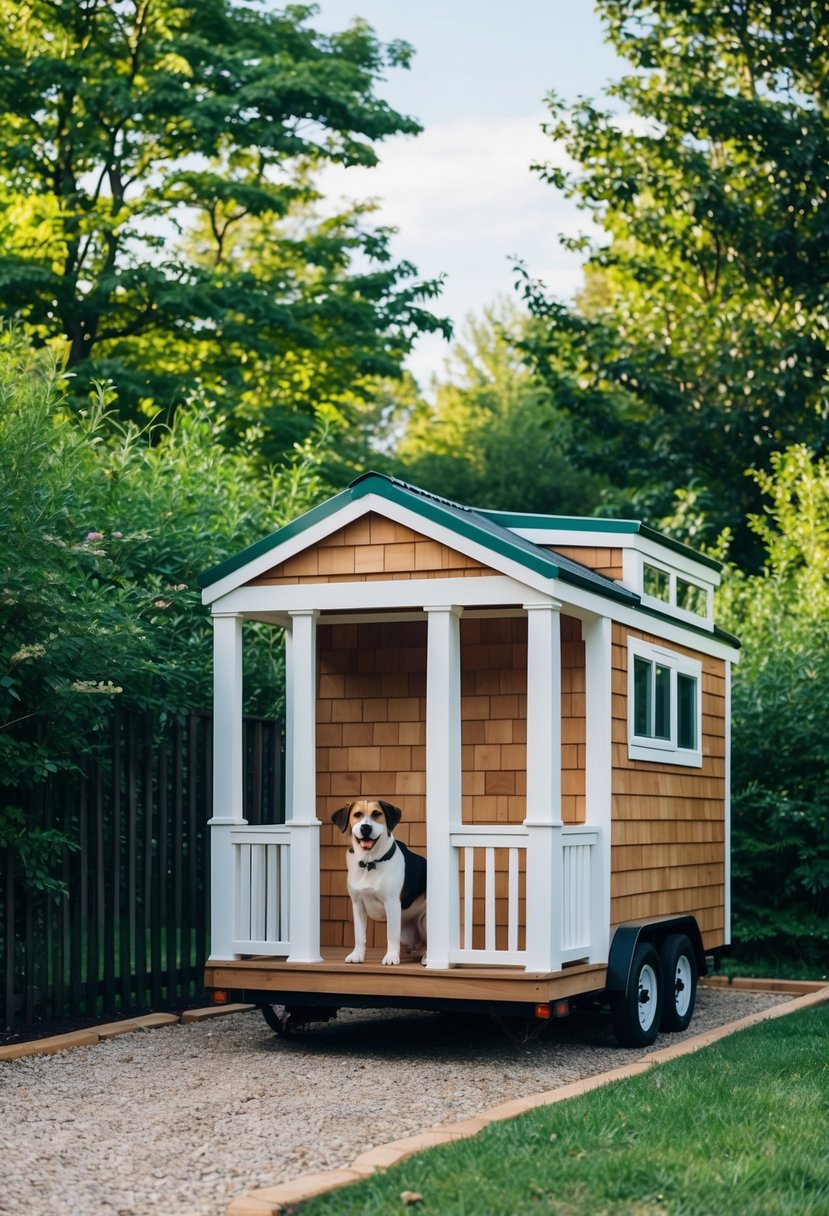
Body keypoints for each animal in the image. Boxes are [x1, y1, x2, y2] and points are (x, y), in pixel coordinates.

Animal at [328, 797, 425, 967]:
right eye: (357, 815)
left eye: (376, 814)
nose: (366, 828)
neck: (369, 863)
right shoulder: (357, 903)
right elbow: (359, 935)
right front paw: (357, 955)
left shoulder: (392, 903)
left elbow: (391, 935)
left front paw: (391, 957)